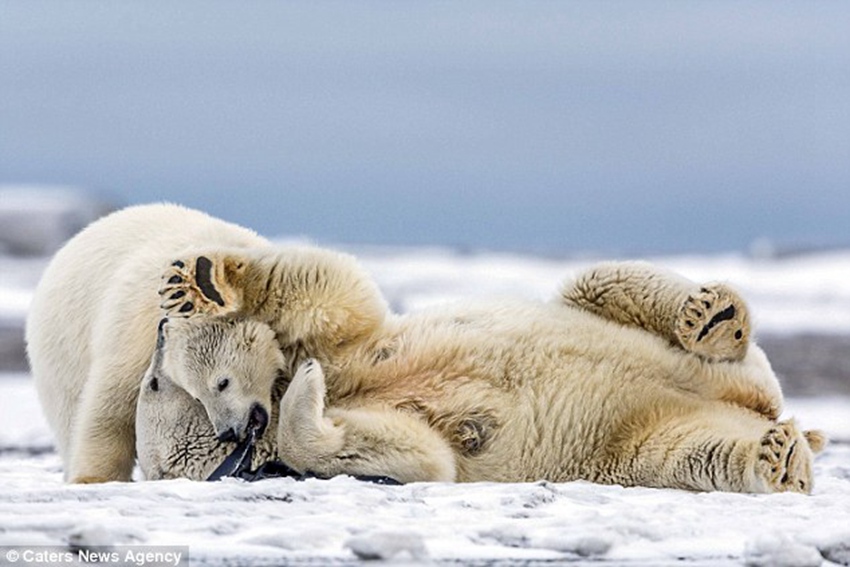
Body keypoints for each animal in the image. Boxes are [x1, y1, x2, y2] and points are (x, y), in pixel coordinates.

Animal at [25, 203, 298, 483]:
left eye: (223, 383)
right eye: (198, 396)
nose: (230, 433)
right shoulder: (136, 335)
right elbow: (110, 404)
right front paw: (94, 478)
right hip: (62, 351)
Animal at [137, 241, 826, 493]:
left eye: (151, 380)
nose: (159, 333)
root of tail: (758, 403)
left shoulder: (350, 345)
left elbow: (329, 292)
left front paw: (199, 282)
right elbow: (415, 454)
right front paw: (311, 398)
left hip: (674, 351)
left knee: (602, 282)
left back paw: (712, 318)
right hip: (628, 446)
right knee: (690, 454)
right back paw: (777, 458)